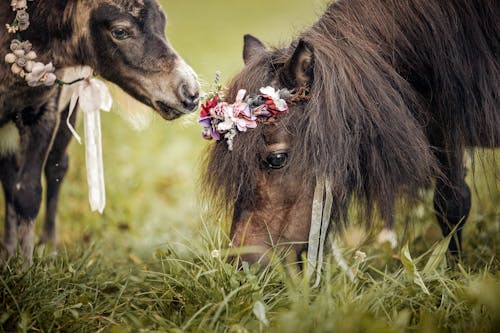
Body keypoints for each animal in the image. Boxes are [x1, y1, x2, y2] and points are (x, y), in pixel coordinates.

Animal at [0, 0, 199, 262]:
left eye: (162, 22)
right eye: (120, 31)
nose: (190, 92)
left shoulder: (45, 110)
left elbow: (28, 192)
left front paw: (25, 268)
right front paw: (19, 263)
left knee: (56, 166)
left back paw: (48, 246)